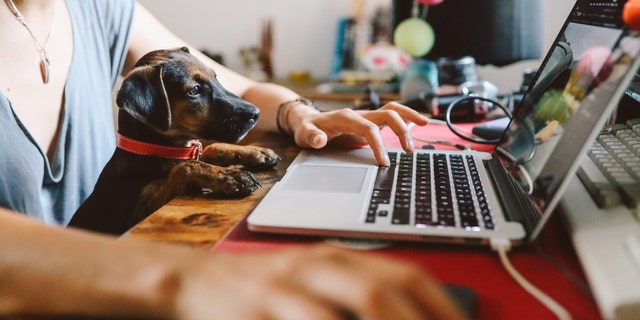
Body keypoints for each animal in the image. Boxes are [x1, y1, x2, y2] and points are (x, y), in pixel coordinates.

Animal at [69, 47, 280, 235]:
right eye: (195, 90)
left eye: (216, 77)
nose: (256, 113)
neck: (155, 149)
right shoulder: (137, 212)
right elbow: (184, 167)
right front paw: (230, 176)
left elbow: (210, 148)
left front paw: (256, 152)